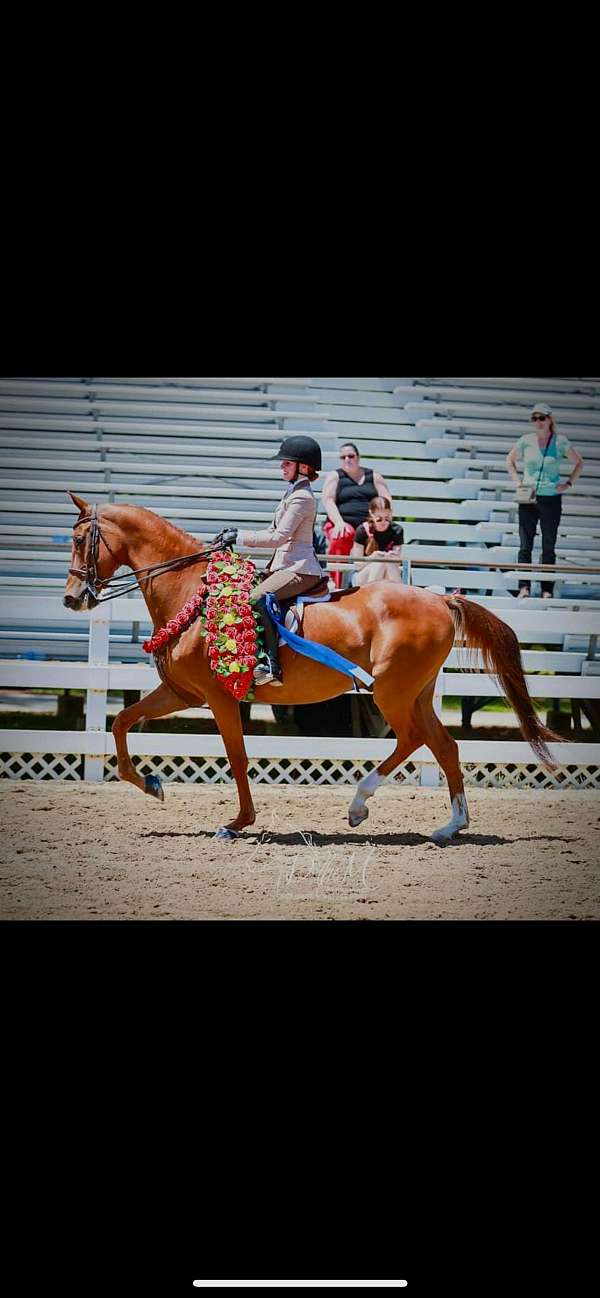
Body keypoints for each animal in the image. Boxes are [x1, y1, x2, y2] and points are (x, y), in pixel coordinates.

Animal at [63, 493, 561, 841]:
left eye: (78, 540)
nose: (72, 598)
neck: (191, 590)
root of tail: (440, 598)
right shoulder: (181, 693)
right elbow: (121, 722)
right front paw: (151, 784)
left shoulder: (220, 697)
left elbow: (237, 757)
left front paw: (238, 822)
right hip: (417, 692)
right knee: (445, 746)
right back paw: (450, 827)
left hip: (391, 692)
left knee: (412, 739)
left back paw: (359, 805)